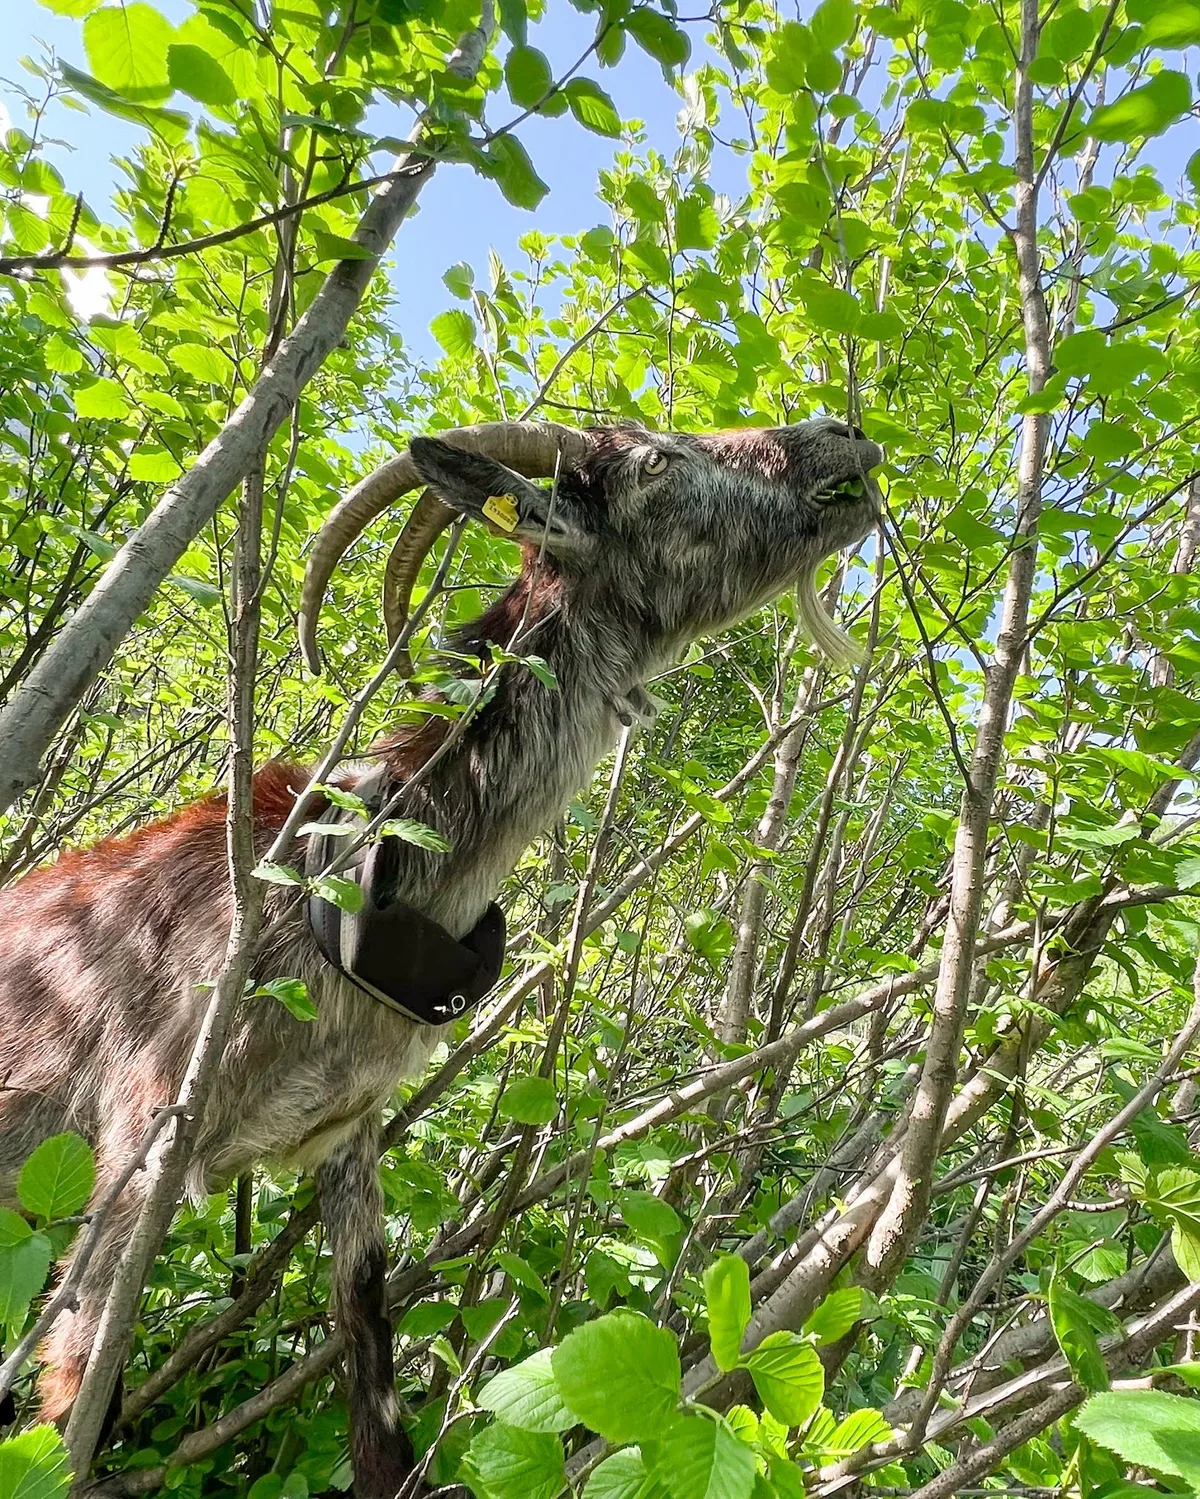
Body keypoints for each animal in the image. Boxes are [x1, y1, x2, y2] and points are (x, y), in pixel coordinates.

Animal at [0, 416, 883, 1496]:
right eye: (658, 461)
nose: (841, 434)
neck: (343, 882)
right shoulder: (137, 1142)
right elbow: (75, 1401)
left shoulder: (347, 1131)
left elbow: (370, 1351)